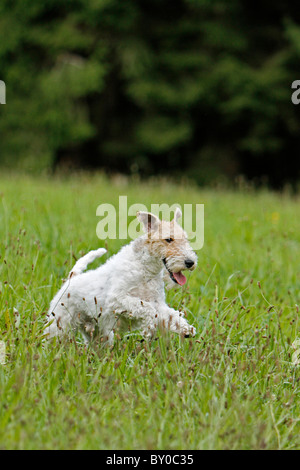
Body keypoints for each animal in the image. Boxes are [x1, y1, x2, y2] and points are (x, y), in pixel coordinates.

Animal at [45, 209, 197, 346]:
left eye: (186, 239)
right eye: (168, 239)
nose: (190, 262)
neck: (145, 269)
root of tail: (71, 278)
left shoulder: (158, 303)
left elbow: (171, 315)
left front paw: (186, 329)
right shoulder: (117, 299)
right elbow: (148, 309)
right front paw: (149, 330)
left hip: (97, 333)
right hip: (60, 323)